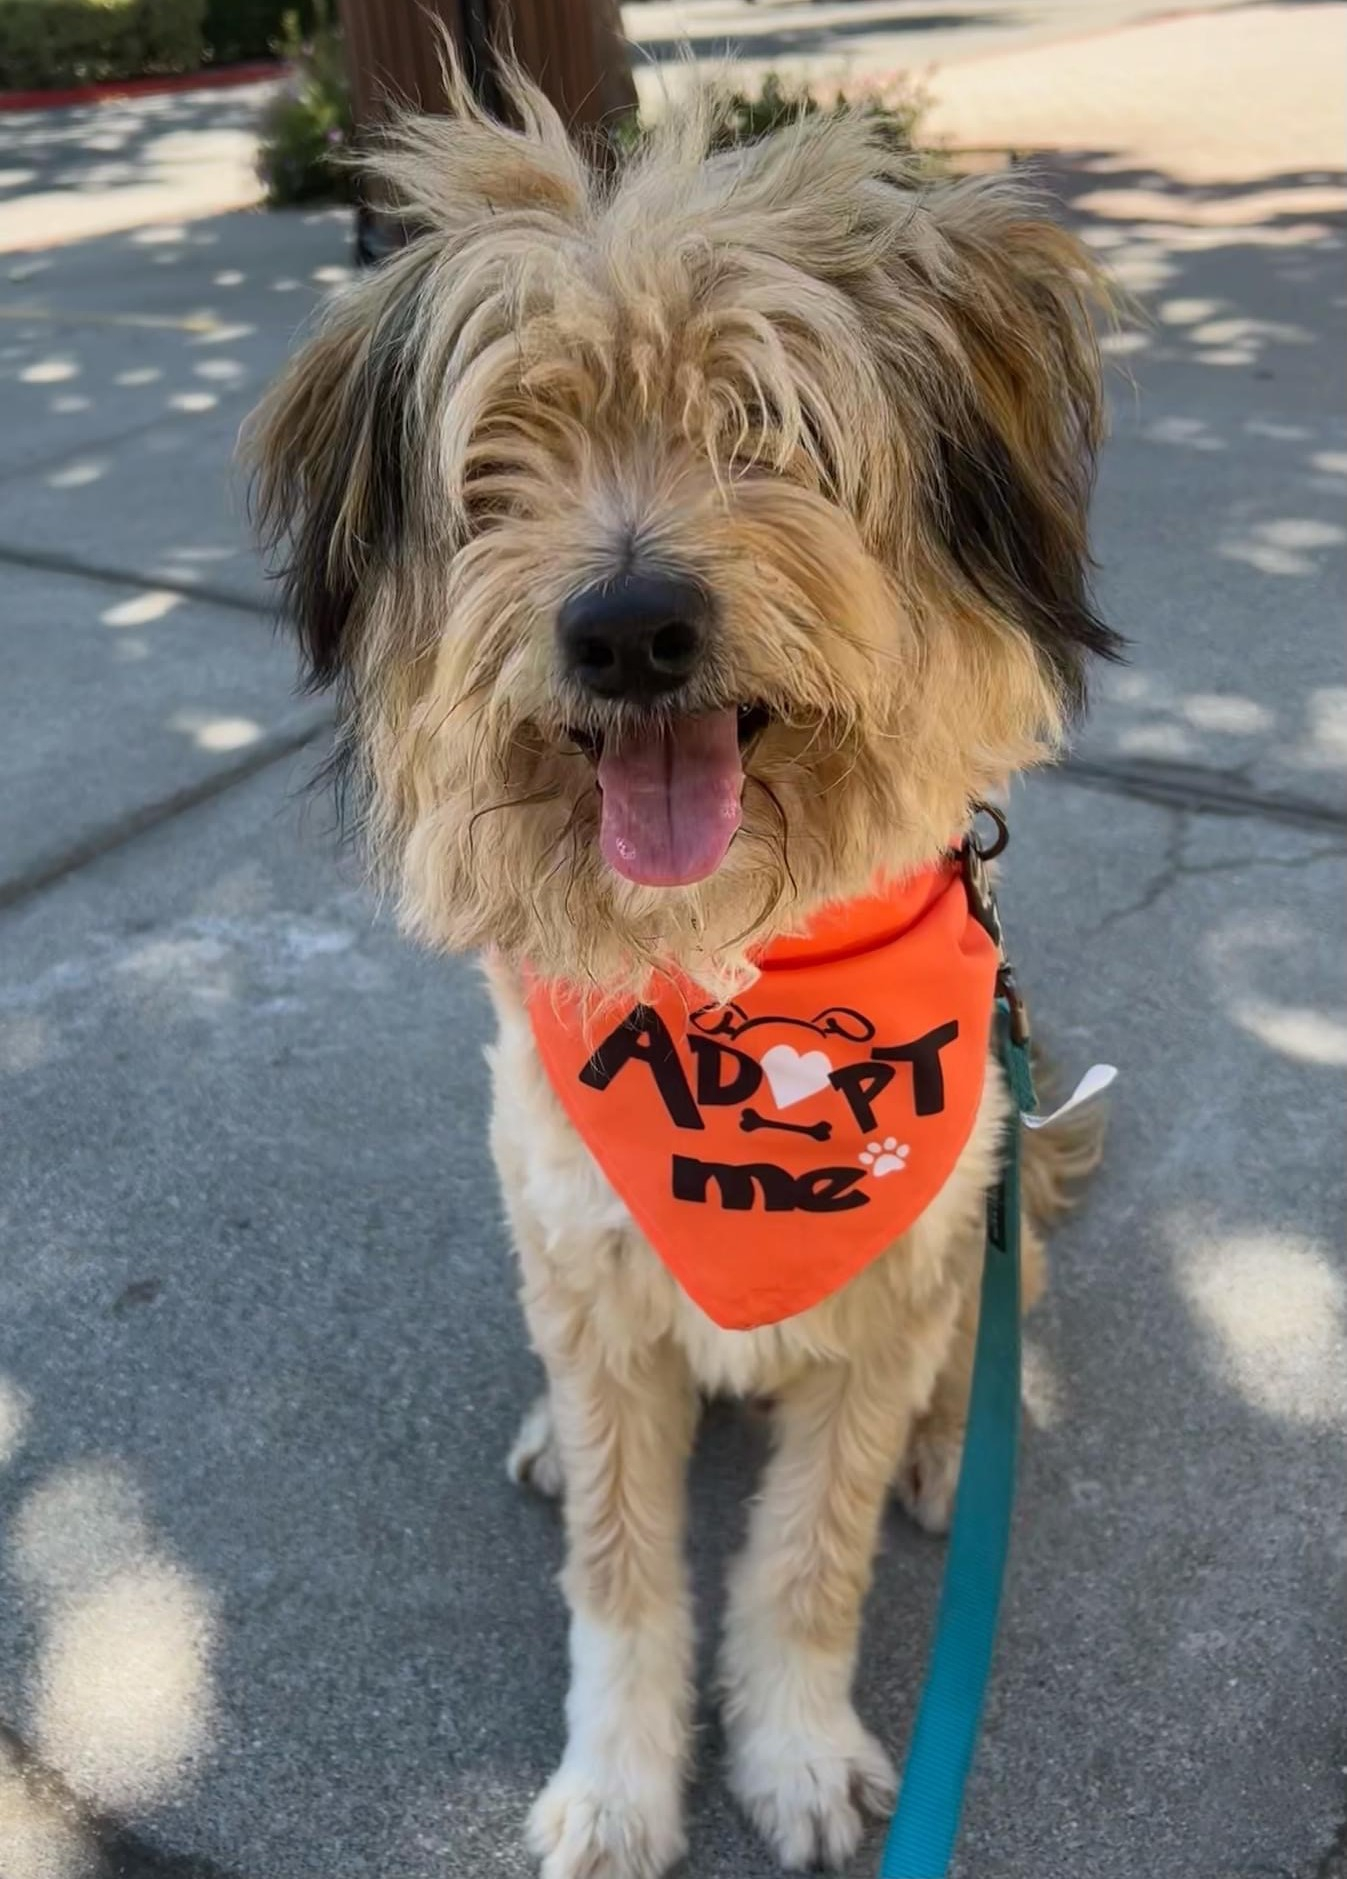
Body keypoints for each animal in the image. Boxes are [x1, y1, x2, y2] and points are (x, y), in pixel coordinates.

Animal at [246, 66, 1119, 1879]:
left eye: (766, 426)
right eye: (501, 453)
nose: (628, 629)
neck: (721, 970)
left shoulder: (884, 1303)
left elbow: (807, 1559)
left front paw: (793, 1745)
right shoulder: (586, 1285)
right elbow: (620, 1565)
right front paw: (615, 1779)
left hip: (992, 1211)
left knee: (976, 1346)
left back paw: (961, 1443)